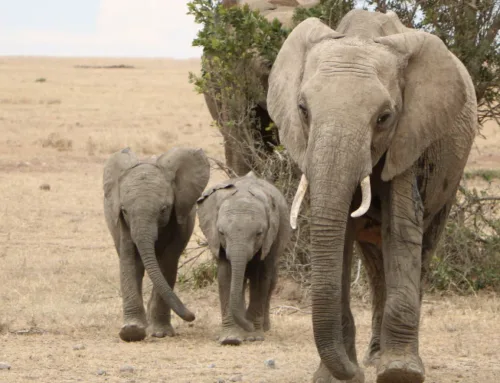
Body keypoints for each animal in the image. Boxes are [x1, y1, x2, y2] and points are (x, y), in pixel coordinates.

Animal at [102, 146, 210, 342]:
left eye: (164, 210)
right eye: (124, 210)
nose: (192, 315)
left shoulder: (179, 217)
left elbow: (168, 261)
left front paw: (160, 333)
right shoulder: (122, 222)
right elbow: (129, 258)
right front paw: (131, 332)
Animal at [195, 172, 290, 346]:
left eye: (259, 233)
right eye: (221, 232)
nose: (250, 326)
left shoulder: (270, 238)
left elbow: (261, 277)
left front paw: (253, 336)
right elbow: (226, 275)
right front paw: (230, 338)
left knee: (271, 280)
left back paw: (264, 327)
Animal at [268, 8, 478, 383]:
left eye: (384, 117)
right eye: (303, 109)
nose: (354, 372)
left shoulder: (409, 135)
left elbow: (401, 226)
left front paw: (399, 373)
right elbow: (340, 236)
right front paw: (335, 376)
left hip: (451, 175)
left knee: (423, 248)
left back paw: (387, 359)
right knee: (375, 263)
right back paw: (373, 355)